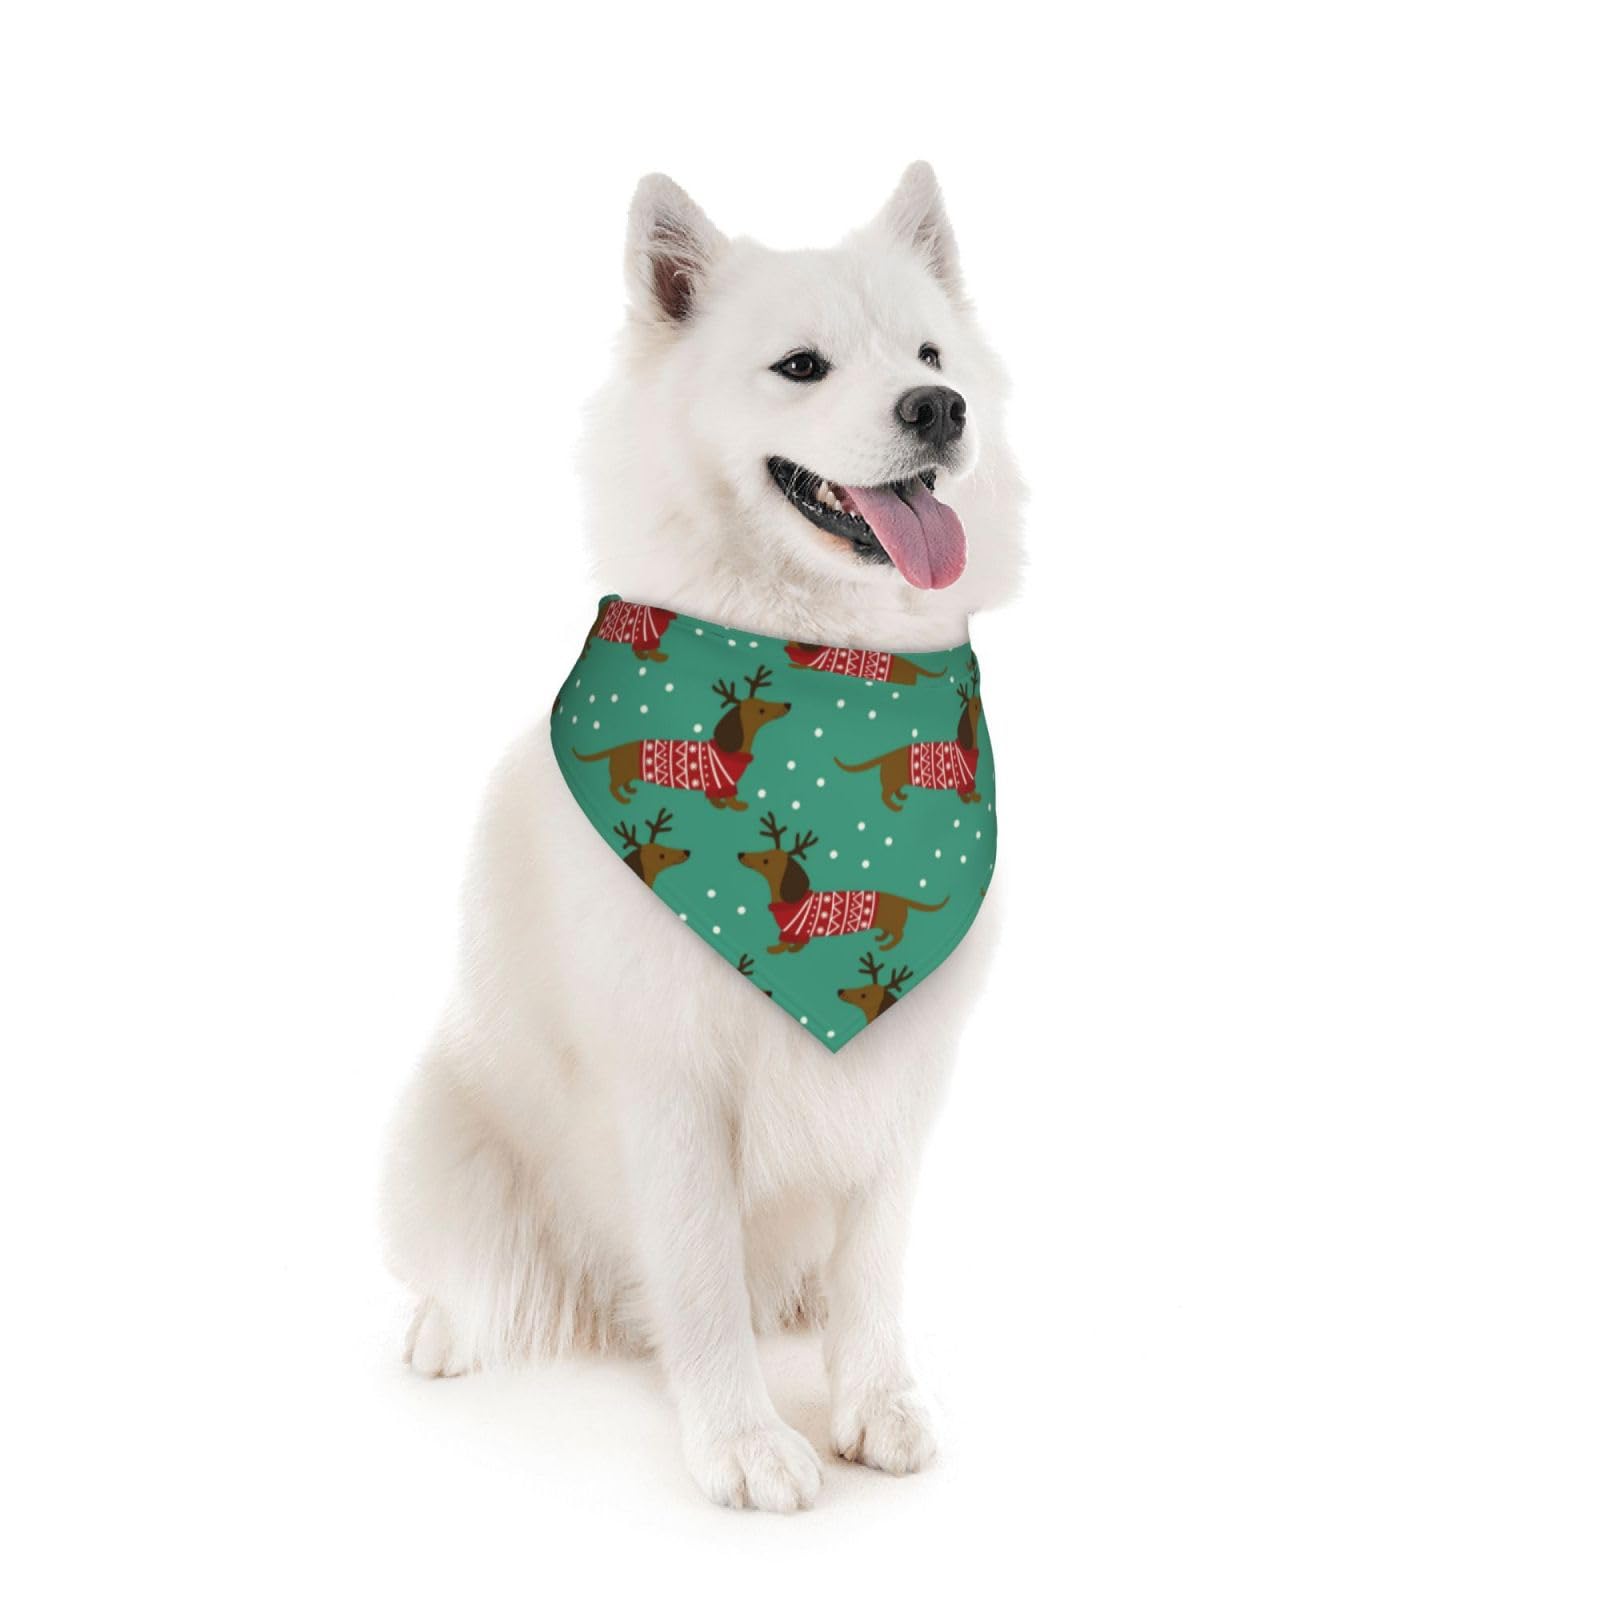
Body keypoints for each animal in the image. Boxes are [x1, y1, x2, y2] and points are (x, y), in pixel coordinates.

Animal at [573, 665, 790, 809]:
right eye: (761, 710)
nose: (787, 704)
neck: (729, 752)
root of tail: (617, 748)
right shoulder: (721, 783)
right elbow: (725, 798)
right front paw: (733, 805)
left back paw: (630, 791)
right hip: (619, 773)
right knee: (611, 787)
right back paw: (622, 799)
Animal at [737, 811, 949, 954]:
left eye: (766, 860)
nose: (741, 854)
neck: (790, 902)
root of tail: (900, 898)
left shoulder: (797, 931)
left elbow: (790, 944)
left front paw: (780, 949)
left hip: (894, 924)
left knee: (899, 936)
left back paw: (887, 946)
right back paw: (881, 938)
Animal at [832, 660, 984, 811]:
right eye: (974, 707)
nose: (978, 700)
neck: (965, 748)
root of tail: (887, 756)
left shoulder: (968, 781)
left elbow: (971, 791)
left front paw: (975, 797)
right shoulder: (962, 781)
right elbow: (965, 793)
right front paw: (969, 799)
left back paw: (901, 797)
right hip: (891, 781)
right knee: (884, 795)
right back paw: (896, 807)